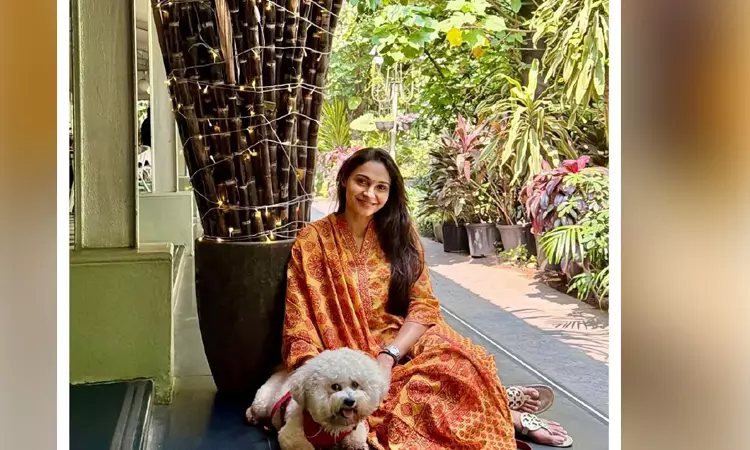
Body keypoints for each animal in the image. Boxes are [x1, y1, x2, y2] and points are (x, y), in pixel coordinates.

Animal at [246, 348, 390, 450]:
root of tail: (279, 372)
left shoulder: (353, 430)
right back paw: (251, 416)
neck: (331, 428)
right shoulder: (291, 436)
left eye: (355, 384)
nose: (350, 401)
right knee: (255, 408)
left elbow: (356, 439)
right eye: (335, 386)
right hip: (262, 402)